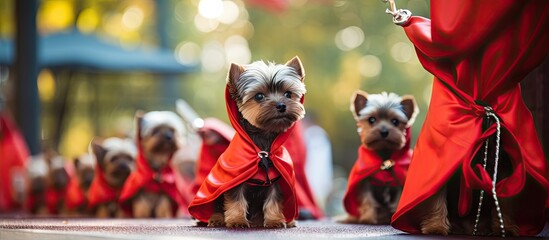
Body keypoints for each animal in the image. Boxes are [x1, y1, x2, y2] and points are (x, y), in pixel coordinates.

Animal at [342, 90, 420, 225]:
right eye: (371, 119)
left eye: (395, 121)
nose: (384, 131)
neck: (384, 158)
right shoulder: (365, 182)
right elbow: (367, 200)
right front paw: (368, 219)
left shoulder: (400, 183)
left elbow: (398, 199)